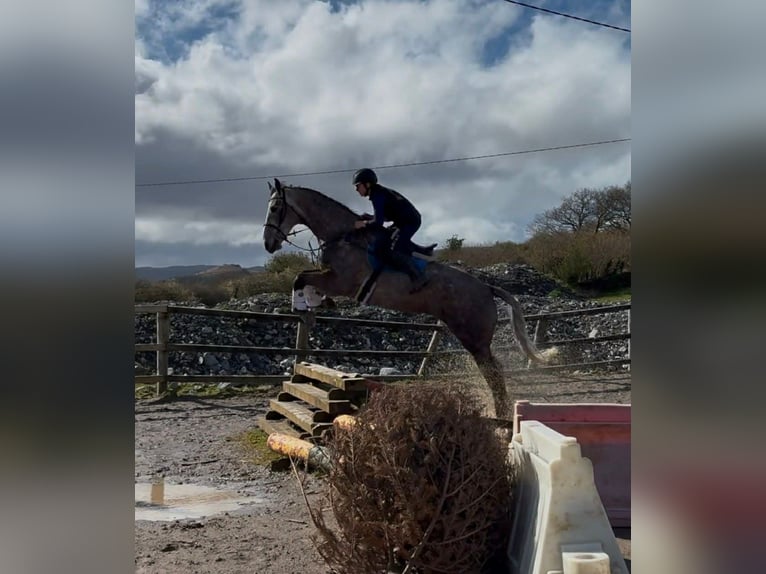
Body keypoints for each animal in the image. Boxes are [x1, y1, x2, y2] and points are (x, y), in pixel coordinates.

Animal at [262, 178, 552, 419]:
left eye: (275, 208)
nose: (267, 244)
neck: (343, 235)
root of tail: (487, 288)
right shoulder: (331, 278)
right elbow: (304, 278)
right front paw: (315, 304)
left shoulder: (340, 281)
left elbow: (300, 278)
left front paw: (303, 308)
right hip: (470, 337)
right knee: (493, 370)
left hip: (474, 338)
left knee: (493, 372)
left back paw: (501, 414)